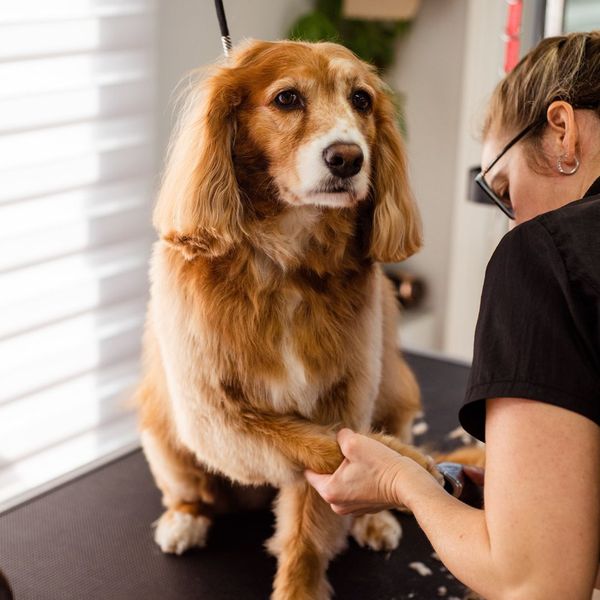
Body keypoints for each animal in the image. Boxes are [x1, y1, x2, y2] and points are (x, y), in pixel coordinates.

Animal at [138, 39, 442, 596]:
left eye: (362, 100)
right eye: (286, 98)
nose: (348, 158)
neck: (285, 265)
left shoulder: (343, 396)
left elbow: (310, 521)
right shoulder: (214, 415)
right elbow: (325, 447)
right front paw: (405, 466)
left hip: (396, 392)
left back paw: (376, 516)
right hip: (164, 435)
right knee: (189, 489)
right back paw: (184, 518)